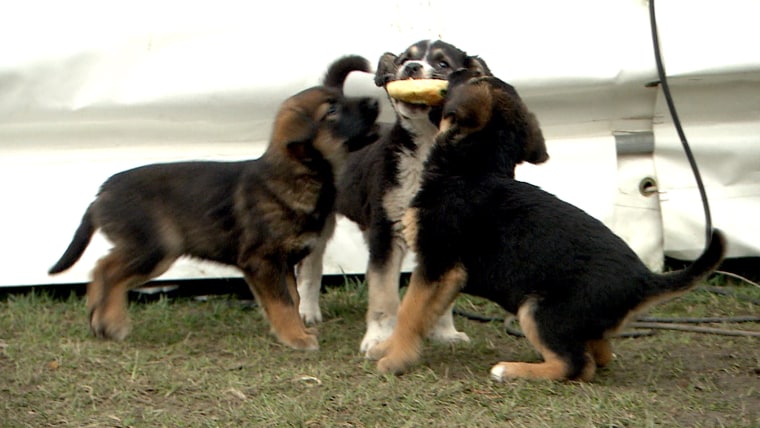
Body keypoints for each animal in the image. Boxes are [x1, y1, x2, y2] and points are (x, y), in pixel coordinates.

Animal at [47, 56, 380, 352]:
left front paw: (294, 331)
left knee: (101, 270)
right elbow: (284, 302)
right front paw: (296, 338)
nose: (376, 103)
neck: (299, 176)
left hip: (150, 249)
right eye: (332, 109)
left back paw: (99, 317)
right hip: (154, 247)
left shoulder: (281, 262)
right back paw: (113, 322)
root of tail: (101, 193)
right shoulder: (262, 260)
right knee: (107, 270)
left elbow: (293, 299)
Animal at [372, 71, 728, 382]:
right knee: (601, 353)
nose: (450, 71)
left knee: (577, 365)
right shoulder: (447, 275)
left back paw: (511, 370)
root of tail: (645, 280)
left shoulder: (436, 263)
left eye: (469, 76)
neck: (472, 170)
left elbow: (409, 311)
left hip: (537, 311)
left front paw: (394, 359)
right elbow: (423, 315)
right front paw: (392, 348)